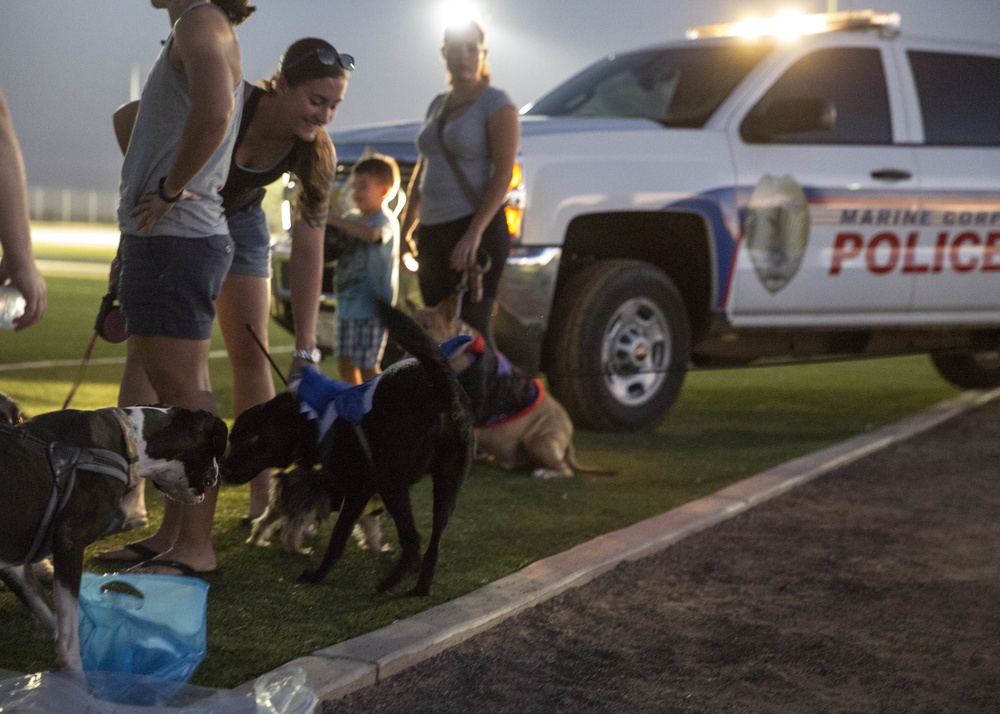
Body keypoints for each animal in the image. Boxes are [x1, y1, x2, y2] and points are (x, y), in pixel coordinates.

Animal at [0, 404, 227, 672]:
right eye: (215, 447)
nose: (217, 477)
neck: (130, 440)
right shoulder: (69, 543)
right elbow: (68, 634)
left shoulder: (15, 564)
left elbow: (52, 620)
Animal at [225, 300, 474, 596]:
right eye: (232, 439)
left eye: (251, 439)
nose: (222, 472)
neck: (315, 418)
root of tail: (442, 388)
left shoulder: (358, 490)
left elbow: (338, 537)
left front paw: (317, 575)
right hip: (448, 484)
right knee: (433, 546)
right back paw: (419, 589)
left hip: (392, 483)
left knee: (413, 542)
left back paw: (387, 584)